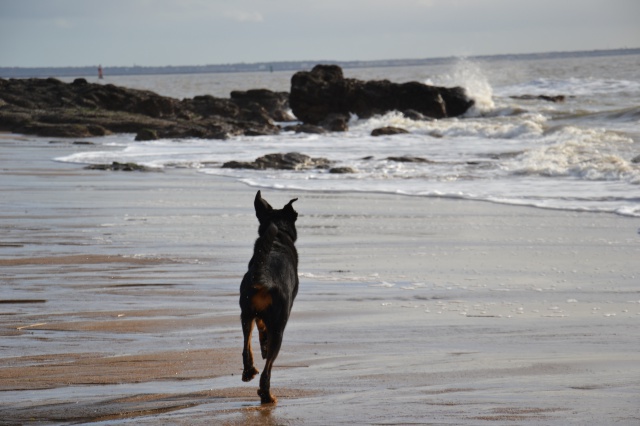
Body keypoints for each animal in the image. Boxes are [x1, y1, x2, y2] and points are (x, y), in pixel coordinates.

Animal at [240, 191, 300, 404]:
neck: (279, 238)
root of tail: (263, 274)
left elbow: (260, 328)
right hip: (279, 327)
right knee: (268, 369)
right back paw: (267, 396)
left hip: (245, 312)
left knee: (246, 346)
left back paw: (248, 371)